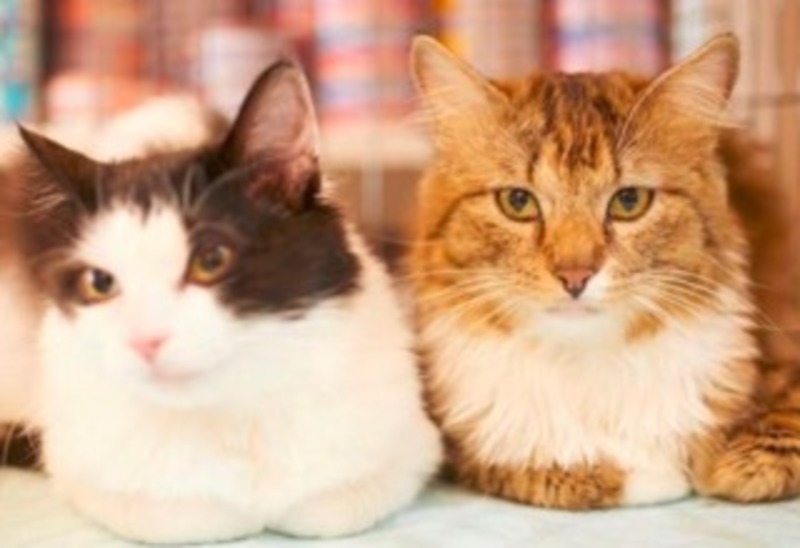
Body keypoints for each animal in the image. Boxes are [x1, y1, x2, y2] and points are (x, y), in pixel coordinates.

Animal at [0, 60, 441, 543]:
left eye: (211, 260)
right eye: (100, 282)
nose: (145, 341)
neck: (233, 409)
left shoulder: (412, 442)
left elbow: (332, 507)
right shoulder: (76, 459)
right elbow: (184, 513)